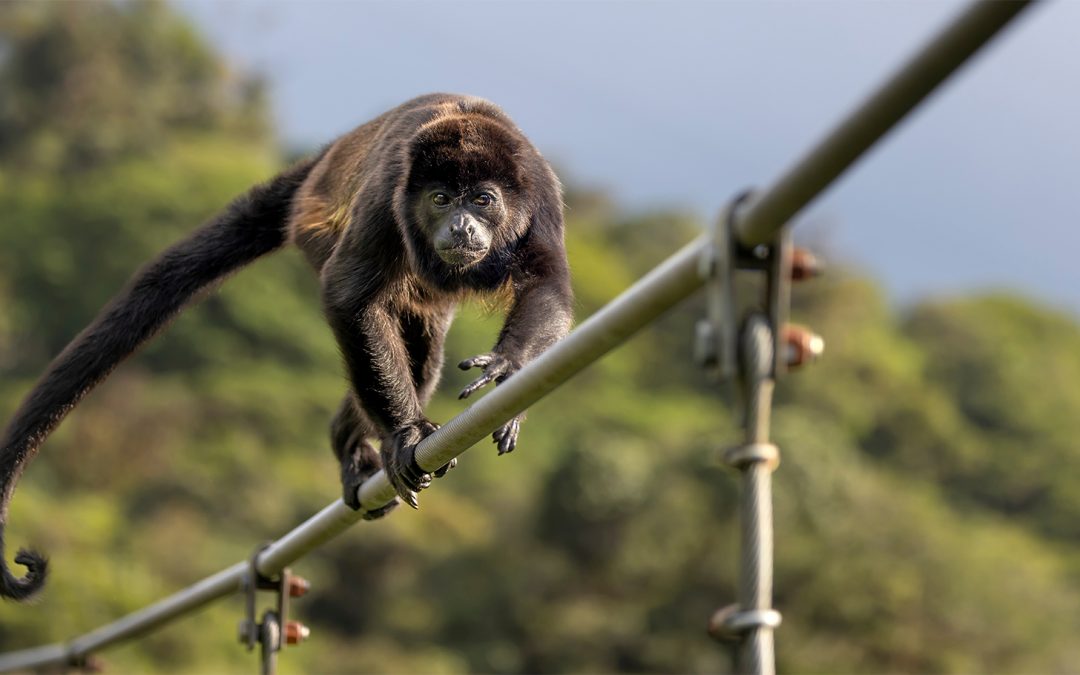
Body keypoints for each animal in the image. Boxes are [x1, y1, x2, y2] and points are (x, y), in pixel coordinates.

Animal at [0, 93, 574, 601]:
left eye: (482, 199)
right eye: (440, 199)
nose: (460, 224)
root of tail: (324, 157)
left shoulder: (540, 191)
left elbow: (549, 285)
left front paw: (509, 368)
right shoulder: (388, 193)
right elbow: (348, 295)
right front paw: (405, 433)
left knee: (423, 352)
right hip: (316, 229)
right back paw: (352, 446)